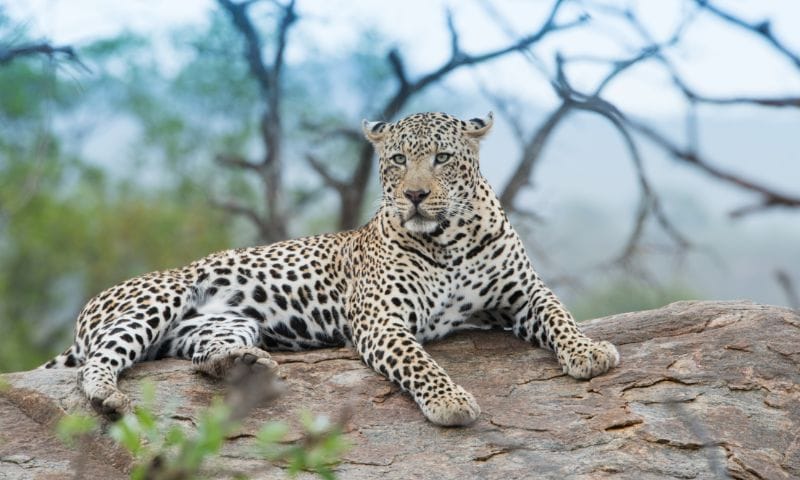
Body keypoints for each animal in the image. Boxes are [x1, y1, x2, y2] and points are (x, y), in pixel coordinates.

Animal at [42, 111, 619, 426]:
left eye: (442, 158)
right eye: (396, 161)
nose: (414, 195)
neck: (449, 240)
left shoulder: (523, 294)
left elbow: (560, 314)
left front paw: (590, 351)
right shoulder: (382, 320)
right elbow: (420, 361)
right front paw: (450, 400)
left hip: (220, 325)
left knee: (202, 358)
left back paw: (244, 366)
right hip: (156, 300)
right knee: (98, 363)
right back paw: (109, 396)